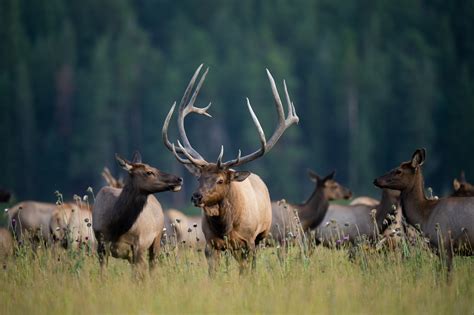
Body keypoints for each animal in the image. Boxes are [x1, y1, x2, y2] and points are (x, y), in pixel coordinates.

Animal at [161, 63, 298, 274]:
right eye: (199, 178)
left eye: (220, 180)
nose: (196, 196)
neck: (225, 227)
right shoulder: (211, 244)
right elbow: (213, 272)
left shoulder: (249, 241)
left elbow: (247, 271)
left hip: (262, 235)